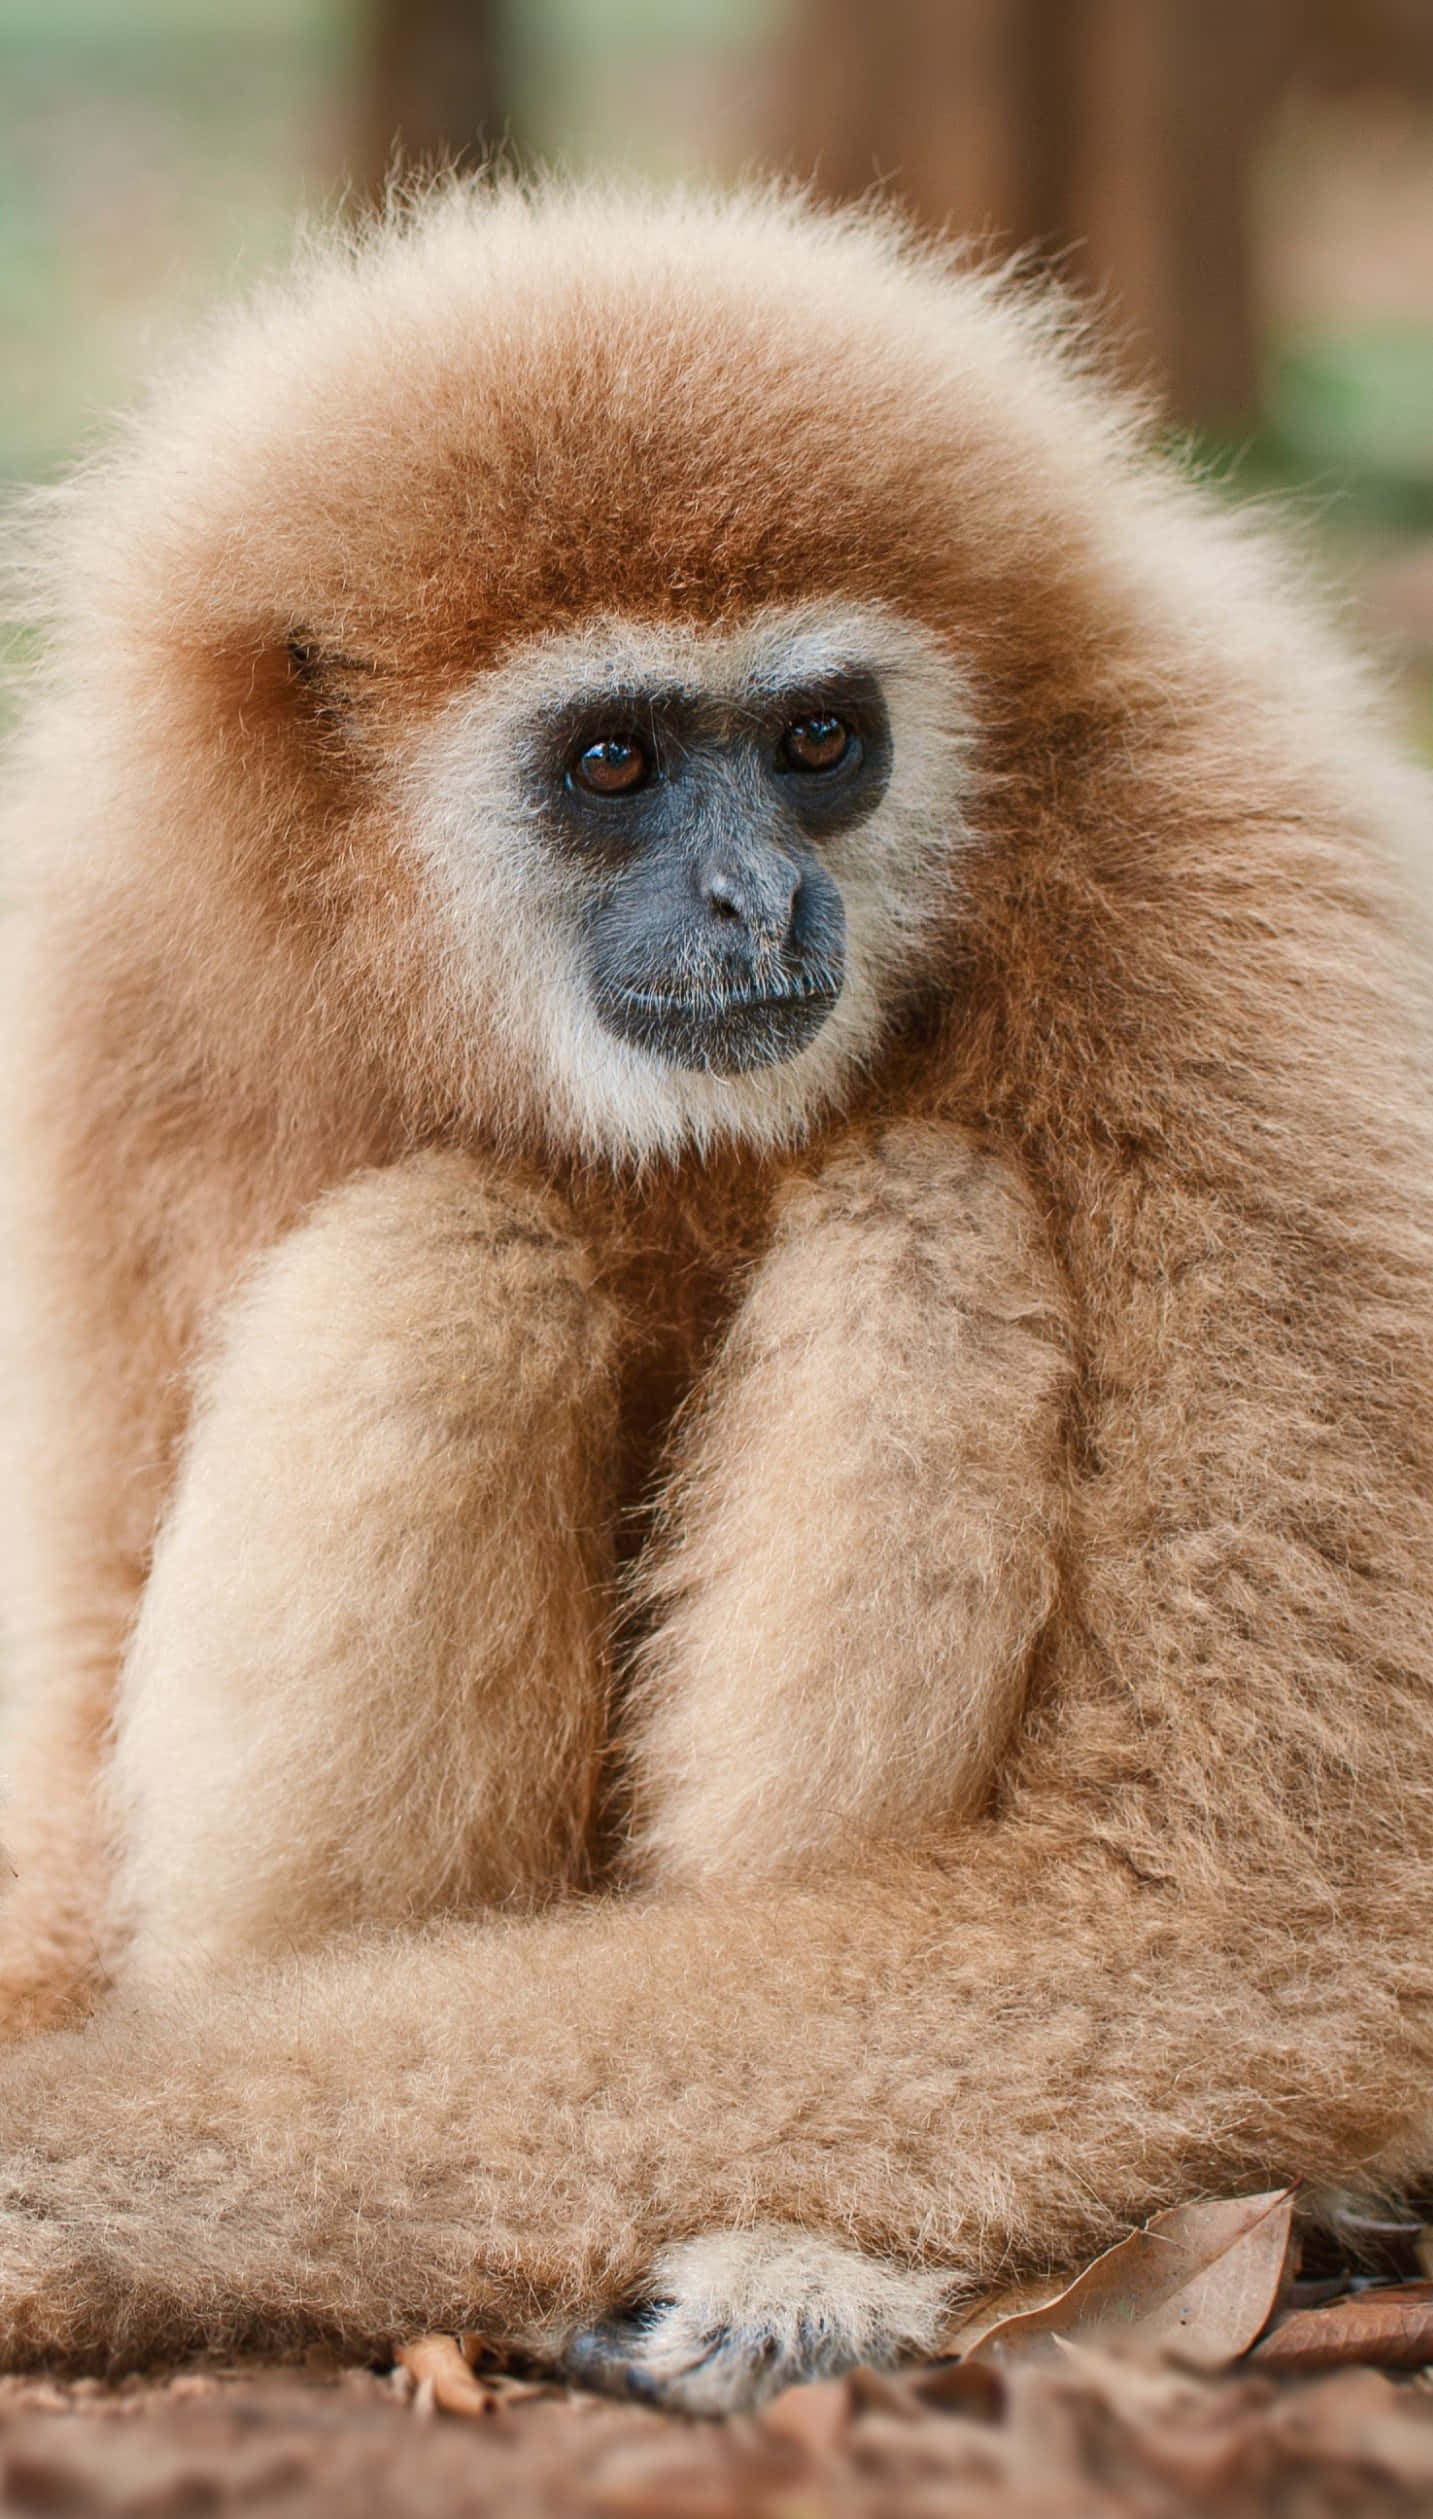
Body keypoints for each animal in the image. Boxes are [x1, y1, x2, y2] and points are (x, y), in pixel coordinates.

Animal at [0, 176, 1431, 2415]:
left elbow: (1258, 1899)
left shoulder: (1221, 877)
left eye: (819, 738)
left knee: (918, 1222)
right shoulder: (111, 962)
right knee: (452, 1259)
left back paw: (804, 2261)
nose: (757, 895)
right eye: (610, 760)